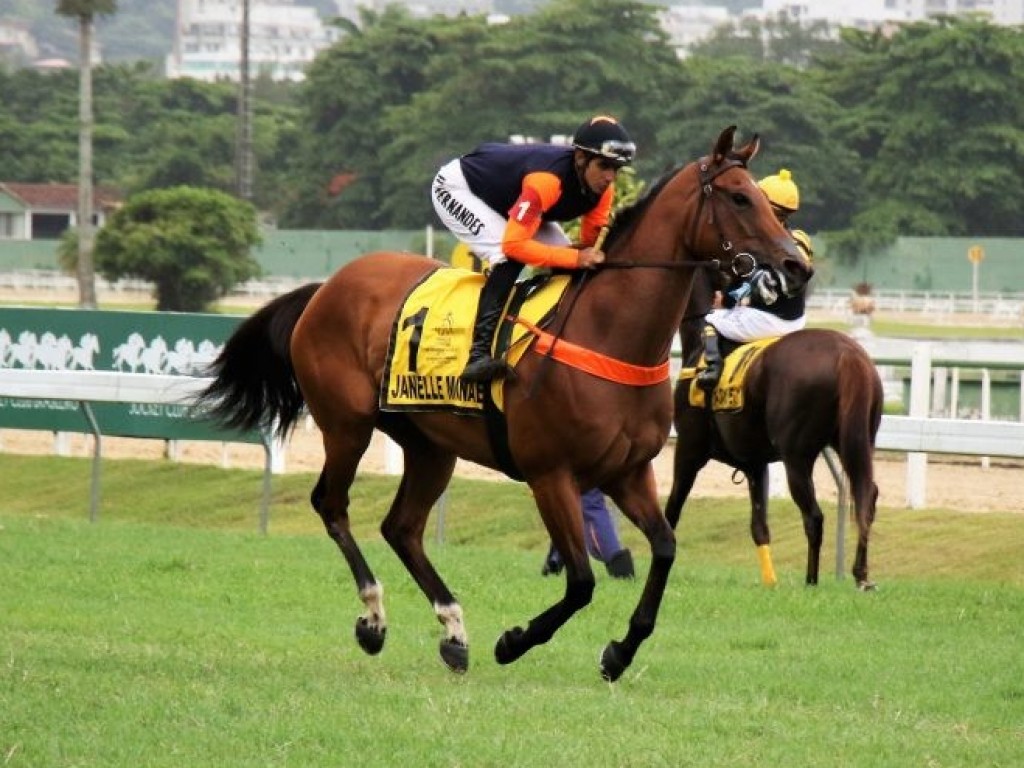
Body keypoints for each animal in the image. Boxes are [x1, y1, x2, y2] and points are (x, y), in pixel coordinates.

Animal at [195, 128, 811, 684]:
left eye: (762, 198)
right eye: (738, 197)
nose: (796, 266)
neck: (609, 331)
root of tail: (325, 288)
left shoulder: (628, 472)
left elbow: (664, 547)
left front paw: (619, 652)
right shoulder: (551, 474)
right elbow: (581, 581)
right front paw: (514, 641)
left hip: (429, 444)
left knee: (402, 527)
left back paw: (453, 632)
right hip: (347, 424)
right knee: (332, 504)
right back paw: (374, 620)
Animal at [663, 274, 880, 589]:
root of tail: (847, 353)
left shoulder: (689, 448)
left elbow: (672, 510)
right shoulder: (755, 464)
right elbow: (759, 527)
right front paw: (770, 583)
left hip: (796, 457)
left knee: (814, 516)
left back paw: (811, 581)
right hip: (858, 442)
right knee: (867, 497)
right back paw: (861, 575)